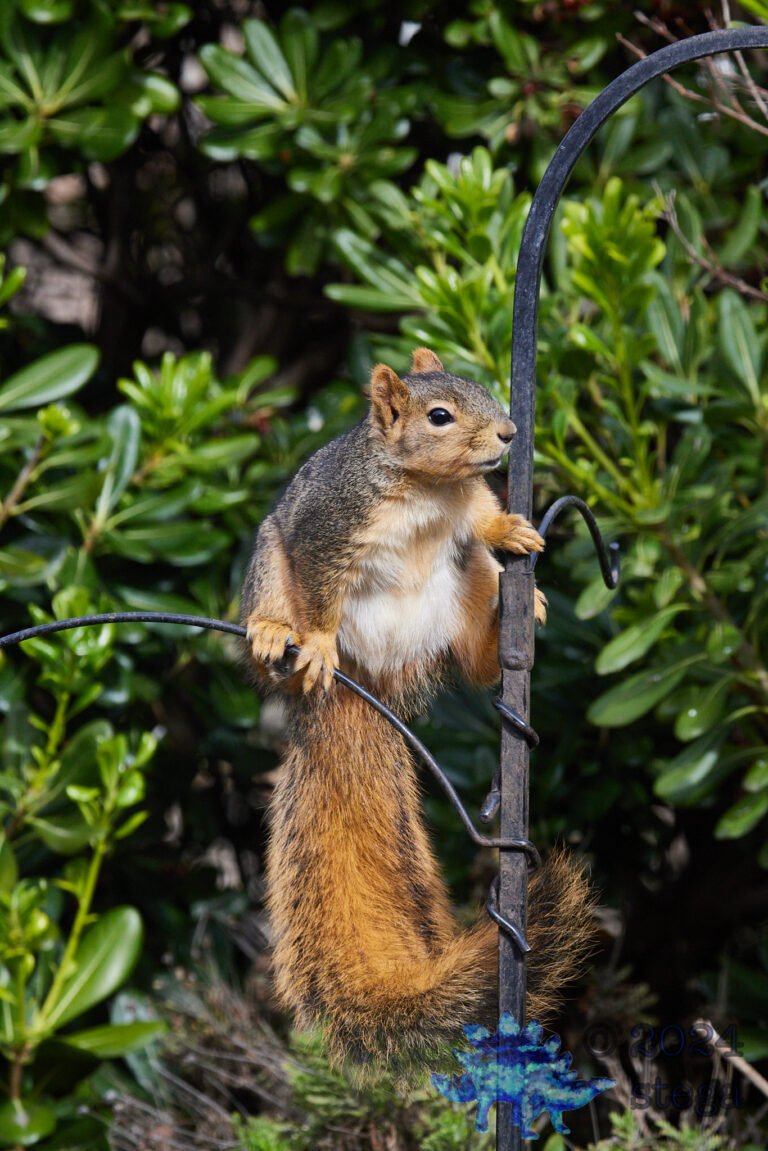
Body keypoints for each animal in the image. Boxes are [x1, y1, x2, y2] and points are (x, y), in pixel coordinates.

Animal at [241, 348, 595, 1065]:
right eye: (438, 417)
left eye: (483, 387)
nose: (510, 434)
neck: (430, 491)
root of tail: (370, 674)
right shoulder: (328, 529)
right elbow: (321, 592)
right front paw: (316, 641)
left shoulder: (468, 505)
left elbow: (483, 517)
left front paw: (512, 526)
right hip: (270, 562)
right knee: (281, 622)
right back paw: (274, 637)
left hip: (465, 586)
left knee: (481, 655)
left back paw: (513, 615)